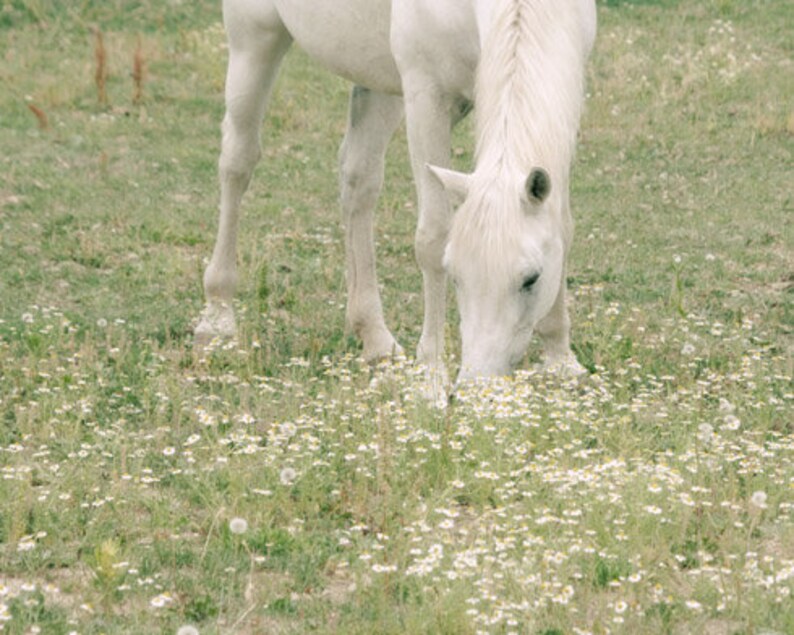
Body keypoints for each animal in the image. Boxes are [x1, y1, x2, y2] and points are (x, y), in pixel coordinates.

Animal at [196, 0, 592, 396]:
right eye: (455, 276)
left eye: (532, 279)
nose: (476, 387)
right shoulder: (427, 98)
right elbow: (433, 237)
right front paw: (431, 378)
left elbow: (563, 227)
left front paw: (561, 360)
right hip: (254, 39)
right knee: (237, 163)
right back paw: (217, 316)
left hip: (377, 81)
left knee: (358, 181)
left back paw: (375, 338)